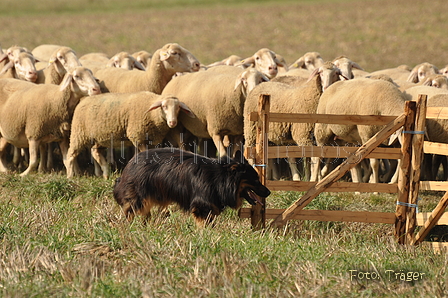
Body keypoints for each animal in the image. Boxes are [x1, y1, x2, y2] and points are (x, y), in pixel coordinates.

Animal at [65, 92, 195, 179]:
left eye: (178, 108)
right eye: (164, 106)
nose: (173, 122)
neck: (152, 114)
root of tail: (82, 100)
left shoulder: (150, 140)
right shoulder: (137, 136)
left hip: (101, 138)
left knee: (94, 151)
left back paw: (106, 174)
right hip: (79, 134)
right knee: (71, 155)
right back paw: (70, 177)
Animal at [114, 147, 272, 226]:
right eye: (256, 180)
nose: (269, 192)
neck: (220, 179)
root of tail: (130, 162)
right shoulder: (202, 206)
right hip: (139, 197)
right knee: (131, 211)